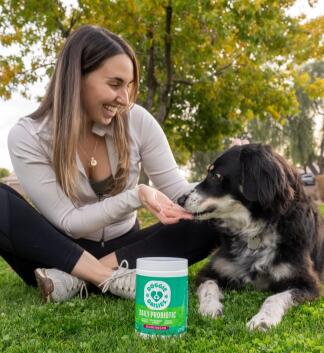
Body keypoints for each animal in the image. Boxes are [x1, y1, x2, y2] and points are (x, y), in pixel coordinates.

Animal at [178, 143, 322, 330]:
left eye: (215, 175)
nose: (179, 200)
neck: (254, 229)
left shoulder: (308, 283)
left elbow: (275, 297)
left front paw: (263, 320)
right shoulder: (210, 270)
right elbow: (209, 286)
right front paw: (210, 308)